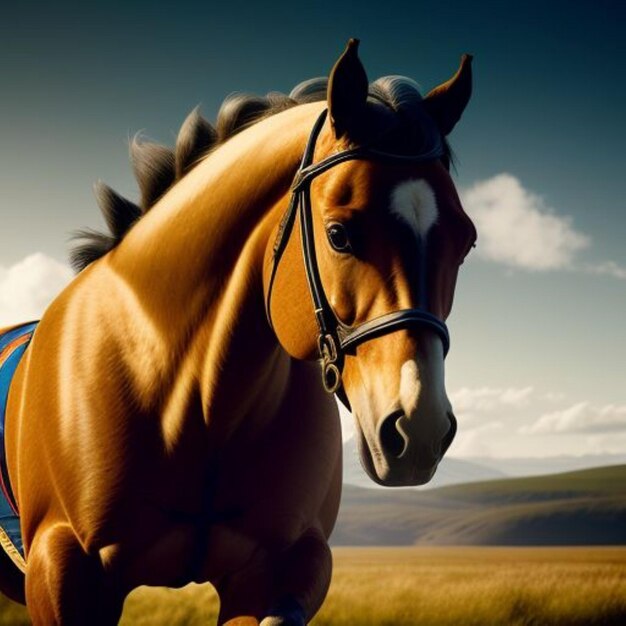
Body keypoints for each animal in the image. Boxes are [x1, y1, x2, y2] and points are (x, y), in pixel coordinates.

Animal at [0, 41, 472, 620]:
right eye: (339, 234)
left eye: (466, 240)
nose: (418, 431)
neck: (193, 404)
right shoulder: (62, 572)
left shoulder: (278, 573)